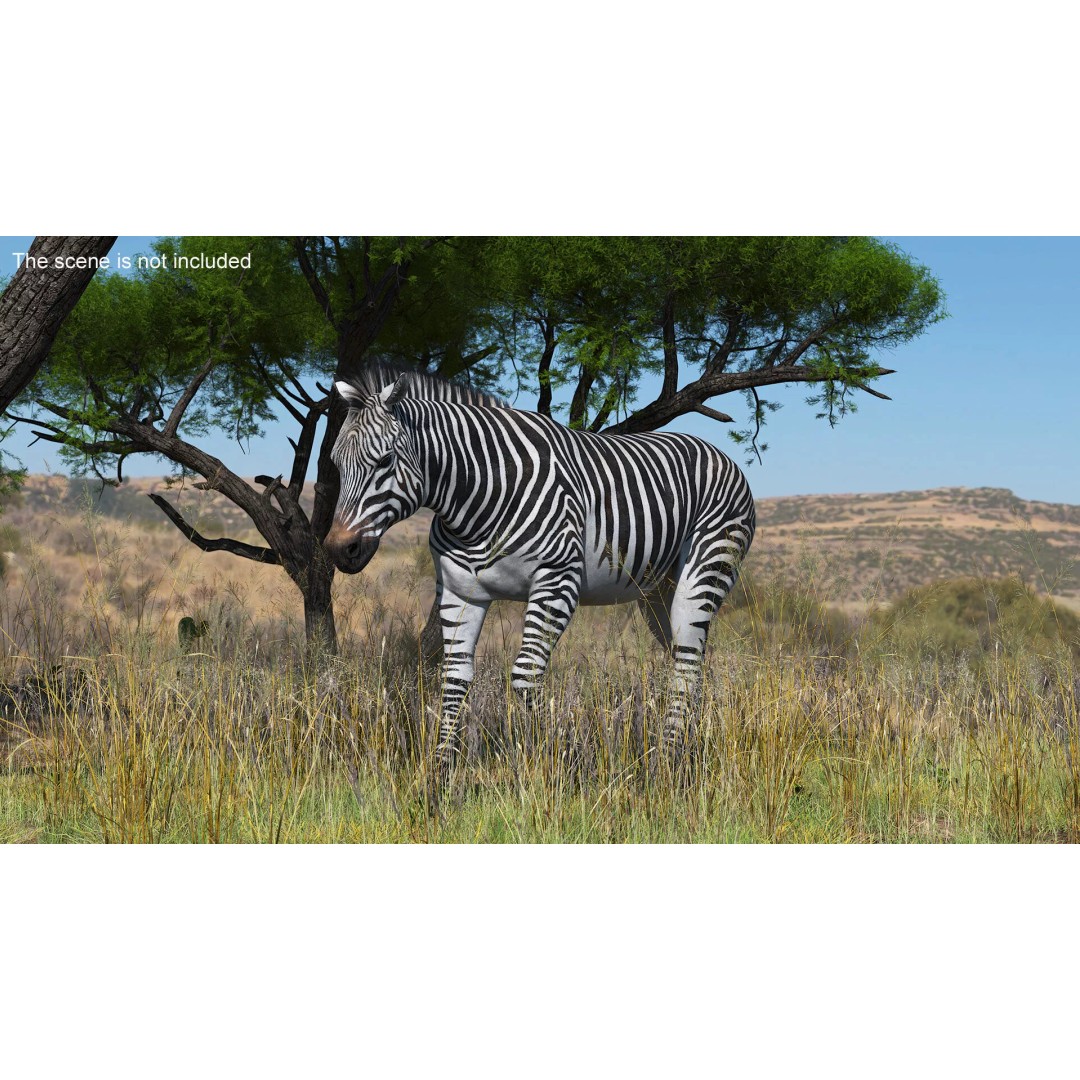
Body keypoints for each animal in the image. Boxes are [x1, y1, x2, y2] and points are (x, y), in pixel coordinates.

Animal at [323, 362, 756, 765]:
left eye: (384, 461)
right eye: (335, 464)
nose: (339, 551)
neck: (477, 501)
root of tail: (717, 452)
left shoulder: (556, 584)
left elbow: (525, 676)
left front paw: (552, 763)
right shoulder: (460, 593)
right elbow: (454, 679)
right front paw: (441, 773)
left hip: (705, 570)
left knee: (687, 667)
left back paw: (669, 761)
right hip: (658, 593)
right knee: (689, 660)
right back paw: (684, 752)